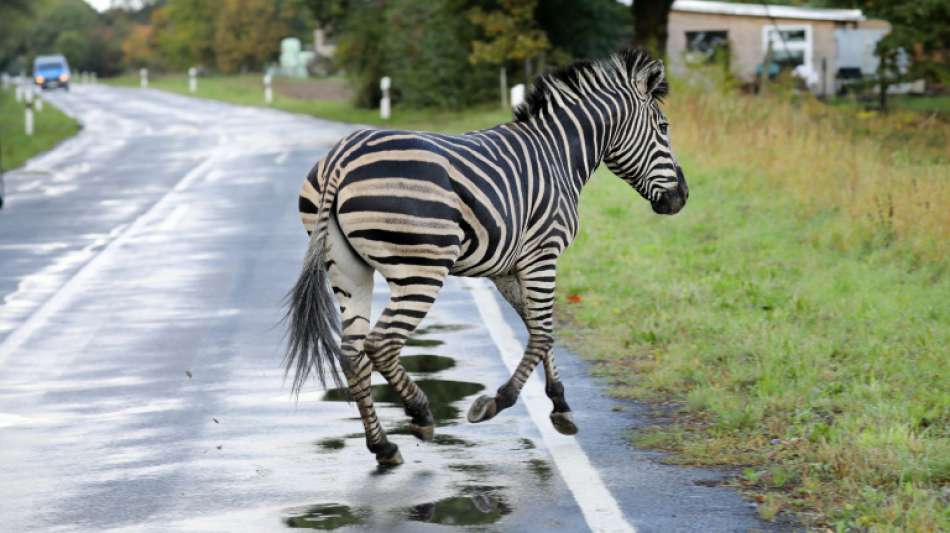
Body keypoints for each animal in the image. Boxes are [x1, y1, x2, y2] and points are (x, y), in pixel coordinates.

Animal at [286, 50, 688, 466]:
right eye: (664, 126)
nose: (682, 198)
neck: (558, 154)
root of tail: (341, 157)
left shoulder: (508, 269)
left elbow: (538, 327)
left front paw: (560, 405)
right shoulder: (543, 255)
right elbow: (543, 332)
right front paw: (497, 402)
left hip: (347, 268)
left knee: (352, 354)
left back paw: (383, 446)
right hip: (420, 269)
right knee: (380, 344)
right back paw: (420, 413)